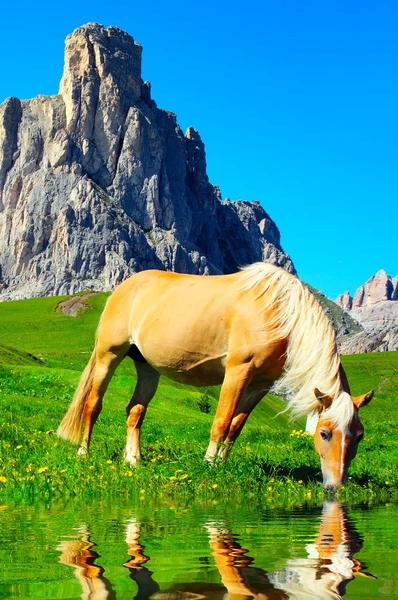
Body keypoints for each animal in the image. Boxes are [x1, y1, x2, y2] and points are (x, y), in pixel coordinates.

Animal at [56, 262, 374, 488]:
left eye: (359, 435)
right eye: (324, 433)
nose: (336, 486)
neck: (279, 312)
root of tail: (125, 287)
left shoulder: (260, 385)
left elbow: (236, 427)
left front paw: (222, 463)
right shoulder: (238, 371)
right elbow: (221, 422)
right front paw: (209, 465)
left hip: (147, 368)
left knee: (135, 411)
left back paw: (134, 460)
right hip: (109, 355)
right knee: (92, 405)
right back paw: (84, 453)